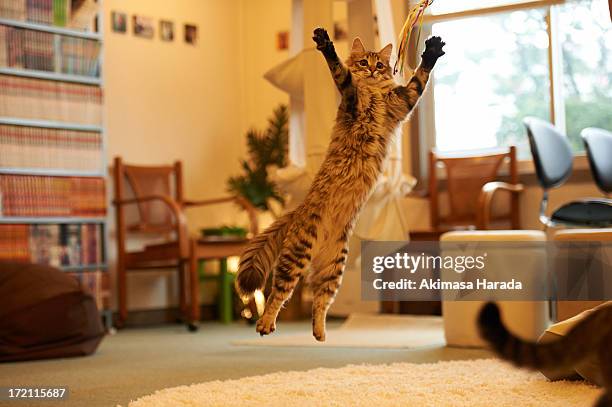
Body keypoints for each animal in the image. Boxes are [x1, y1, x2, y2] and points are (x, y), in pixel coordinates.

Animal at [235, 26, 444, 342]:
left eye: (380, 65)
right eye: (363, 62)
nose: (371, 70)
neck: (373, 93)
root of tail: (298, 210)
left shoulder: (403, 100)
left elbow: (420, 77)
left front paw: (432, 51)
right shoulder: (351, 98)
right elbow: (339, 71)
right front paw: (326, 43)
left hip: (334, 267)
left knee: (319, 301)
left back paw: (320, 333)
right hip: (297, 256)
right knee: (277, 295)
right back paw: (265, 324)